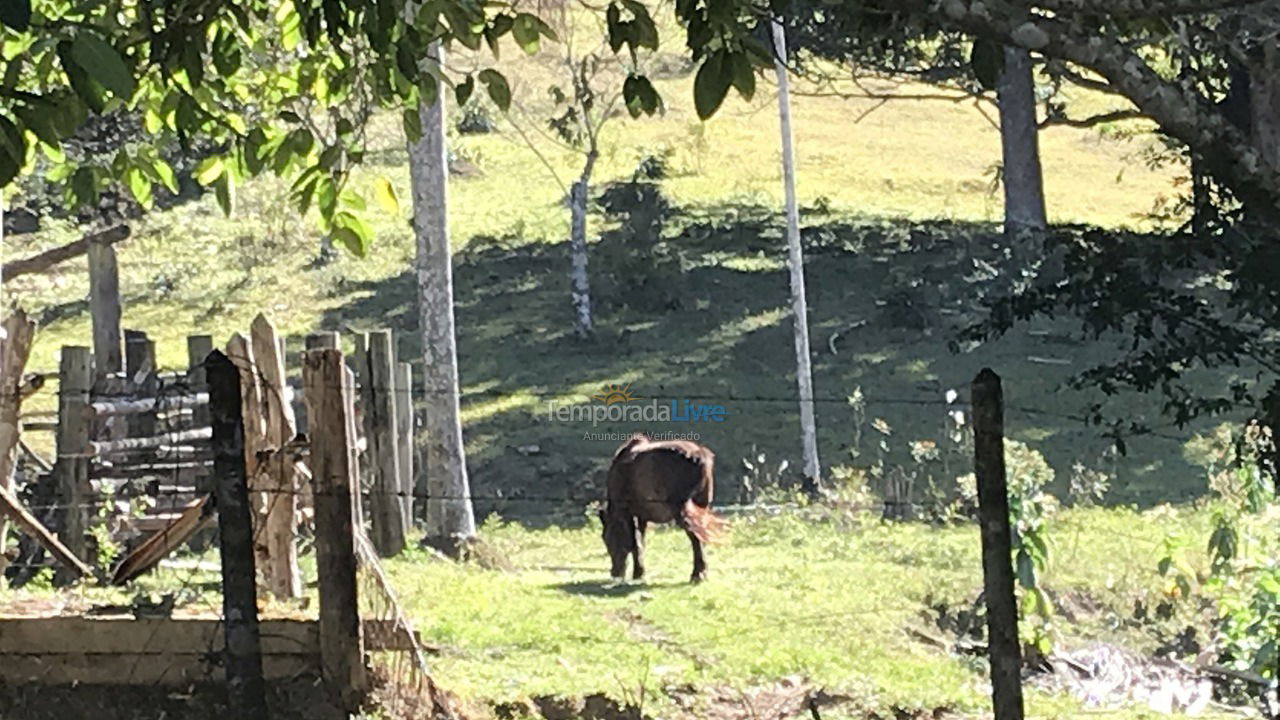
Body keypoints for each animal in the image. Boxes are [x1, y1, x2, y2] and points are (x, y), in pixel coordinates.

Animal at [596, 430, 727, 576]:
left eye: (606, 538)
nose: (615, 572)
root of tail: (699, 455)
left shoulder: (628, 513)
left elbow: (635, 542)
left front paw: (637, 573)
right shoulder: (641, 515)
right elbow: (640, 541)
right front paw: (639, 571)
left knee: (695, 537)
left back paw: (697, 574)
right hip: (702, 506)